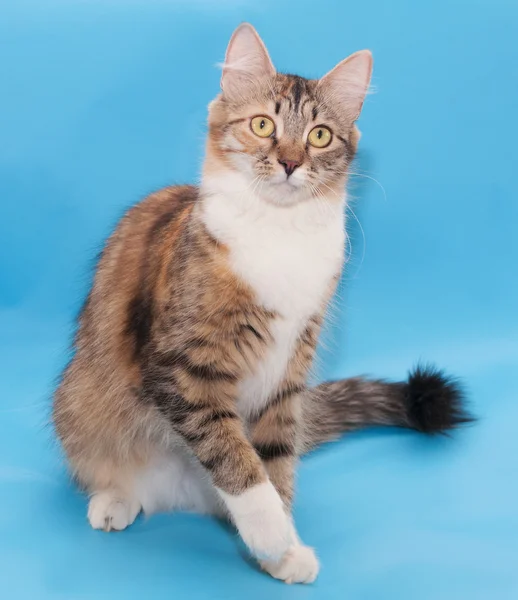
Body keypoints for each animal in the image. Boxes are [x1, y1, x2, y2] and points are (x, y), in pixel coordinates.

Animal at [53, 24, 472, 584]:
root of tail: (178, 494)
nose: (291, 163)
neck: (280, 230)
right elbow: (235, 457)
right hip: (80, 404)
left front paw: (284, 549)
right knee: (116, 472)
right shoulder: (183, 368)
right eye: (262, 125)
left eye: (319, 135)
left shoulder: (288, 371)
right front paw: (271, 533)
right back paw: (115, 501)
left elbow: (274, 460)